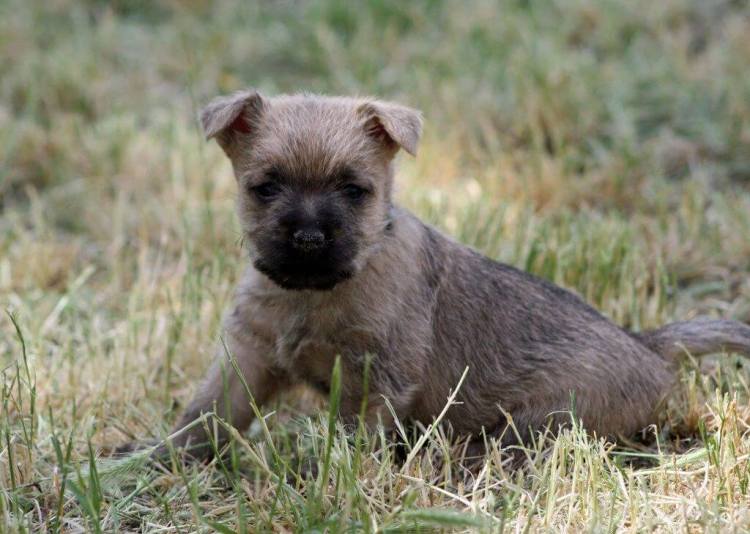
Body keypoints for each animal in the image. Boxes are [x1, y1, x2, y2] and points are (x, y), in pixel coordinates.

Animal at [125, 90, 750, 462]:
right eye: (266, 186)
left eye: (354, 190)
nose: (307, 239)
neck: (316, 296)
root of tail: (645, 345)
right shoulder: (249, 355)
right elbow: (203, 415)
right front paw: (155, 463)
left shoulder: (377, 379)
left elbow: (356, 442)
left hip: (544, 419)